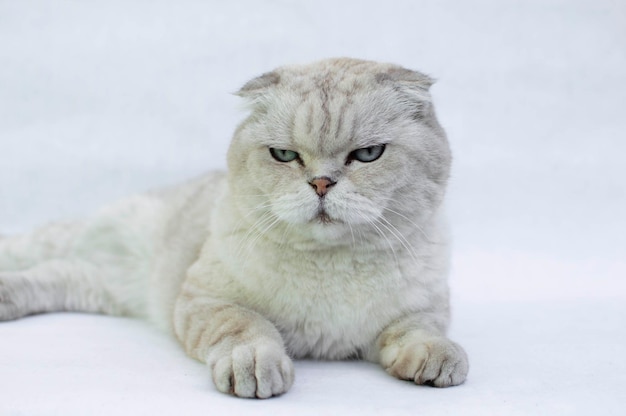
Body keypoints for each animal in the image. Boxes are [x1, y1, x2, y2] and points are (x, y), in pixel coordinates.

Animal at [1, 58, 468, 400]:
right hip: (83, 245)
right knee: (37, 255)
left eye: (368, 154)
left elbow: (420, 333)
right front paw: (258, 369)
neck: (330, 266)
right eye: (285, 155)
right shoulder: (207, 300)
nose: (320, 184)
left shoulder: (420, 311)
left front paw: (437, 360)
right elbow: (248, 328)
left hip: (100, 288)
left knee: (59, 275)